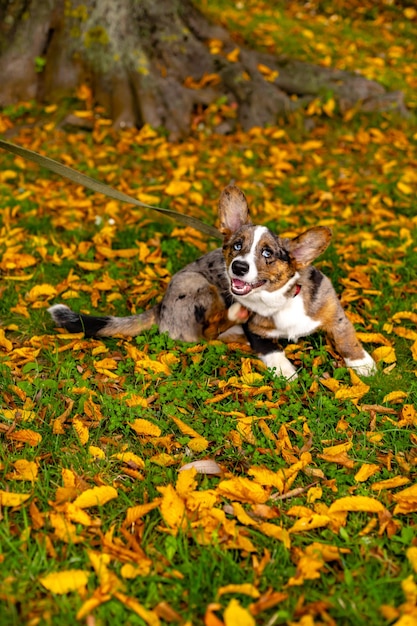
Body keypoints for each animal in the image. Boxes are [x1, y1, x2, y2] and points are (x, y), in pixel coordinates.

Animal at [48, 183, 374, 378]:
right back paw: (234, 314)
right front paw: (287, 372)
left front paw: (363, 365)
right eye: (237, 246)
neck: (280, 302)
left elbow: (346, 337)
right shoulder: (257, 332)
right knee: (208, 330)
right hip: (201, 287)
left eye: (267, 253)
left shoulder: (334, 313)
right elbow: (272, 350)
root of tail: (160, 307)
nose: (239, 268)